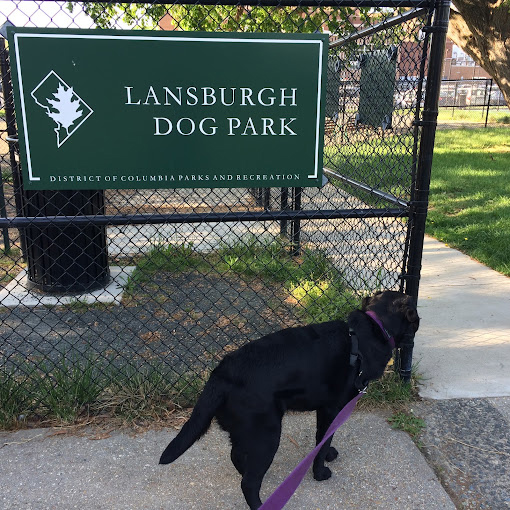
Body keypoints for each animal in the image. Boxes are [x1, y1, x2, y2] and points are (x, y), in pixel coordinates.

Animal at [158, 290, 418, 510]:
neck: (374, 328)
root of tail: (221, 374)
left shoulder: (324, 411)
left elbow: (324, 439)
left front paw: (329, 453)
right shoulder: (332, 409)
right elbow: (323, 442)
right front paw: (320, 472)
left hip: (248, 431)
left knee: (237, 458)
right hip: (268, 433)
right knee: (249, 483)